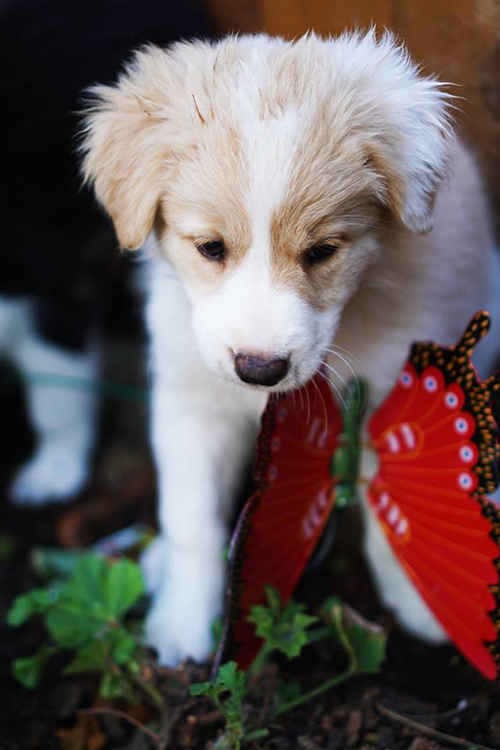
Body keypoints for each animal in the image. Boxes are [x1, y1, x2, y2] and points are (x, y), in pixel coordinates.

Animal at [82, 29, 500, 668]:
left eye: (323, 251)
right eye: (210, 247)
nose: (260, 370)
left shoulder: (387, 392)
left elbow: (395, 500)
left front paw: (423, 595)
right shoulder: (190, 403)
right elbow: (191, 516)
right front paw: (183, 622)